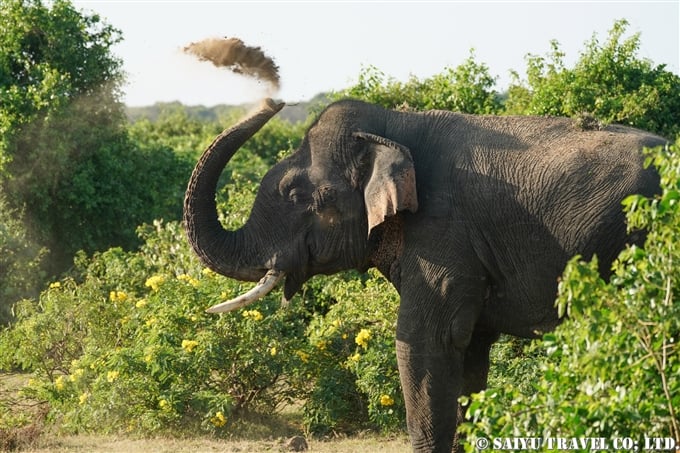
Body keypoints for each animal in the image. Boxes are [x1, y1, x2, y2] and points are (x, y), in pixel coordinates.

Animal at [183, 97, 668, 450]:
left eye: (295, 194)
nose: (274, 99)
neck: (395, 123)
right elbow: (470, 351)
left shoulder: (443, 232)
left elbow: (425, 341)